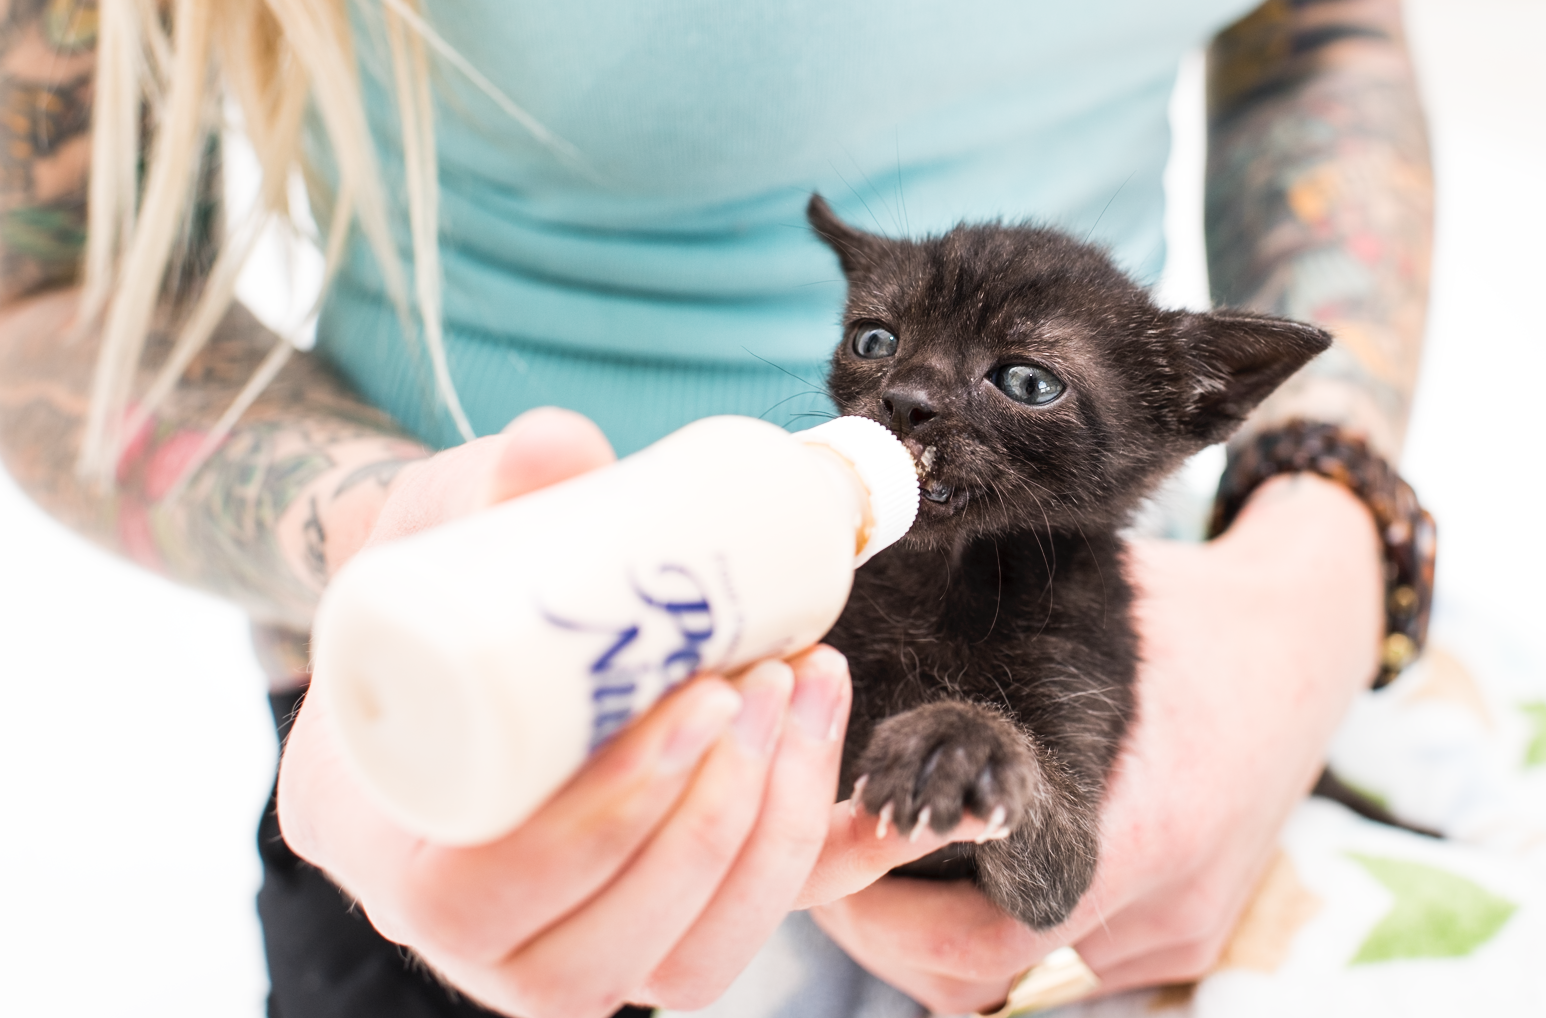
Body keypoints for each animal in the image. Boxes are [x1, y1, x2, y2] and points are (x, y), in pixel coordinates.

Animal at [810, 192, 1329, 928]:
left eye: (1028, 383)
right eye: (875, 341)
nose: (906, 399)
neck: (949, 580)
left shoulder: (1081, 702)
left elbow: (1048, 826)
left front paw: (960, 739)